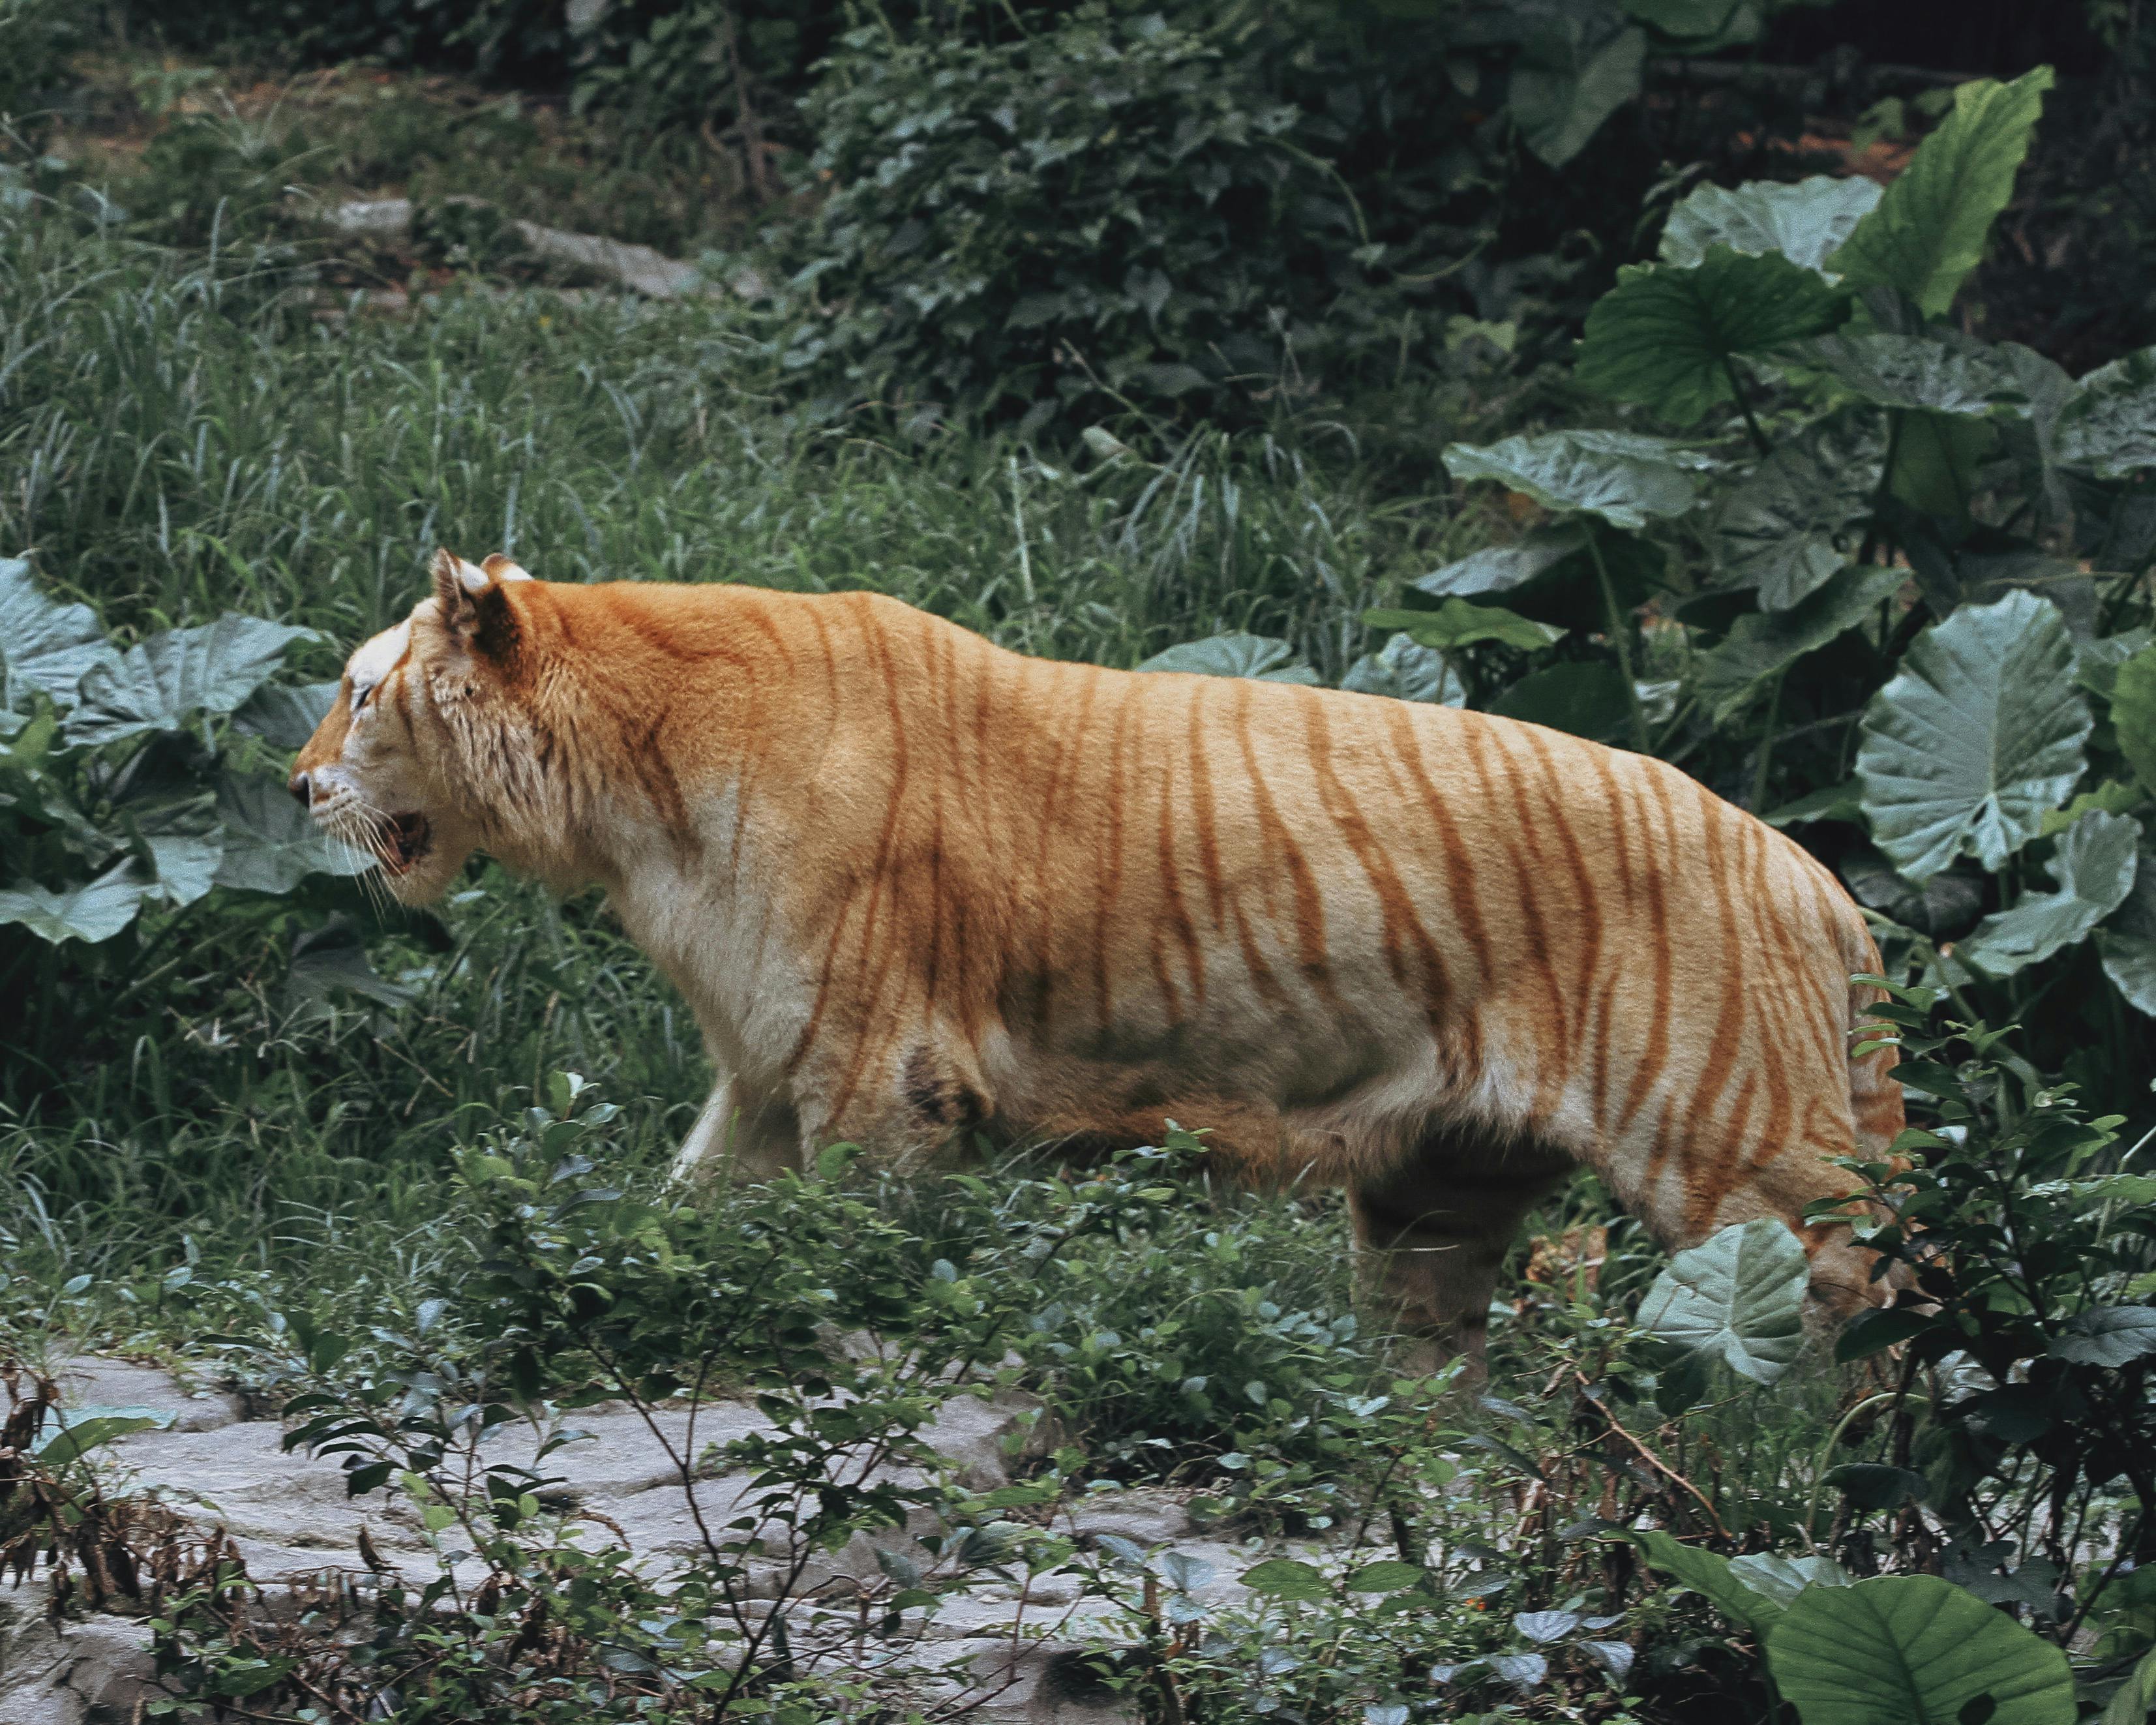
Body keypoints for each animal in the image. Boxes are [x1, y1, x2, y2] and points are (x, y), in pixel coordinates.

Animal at [291, 552, 1906, 1362]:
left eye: (360, 690)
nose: (298, 782)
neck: (628, 810)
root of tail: (1817, 876)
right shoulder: (765, 1067)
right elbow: (681, 1218)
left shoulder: (880, 1071)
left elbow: (855, 1263)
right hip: (1438, 1191)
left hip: (1735, 1141)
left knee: (1871, 1285)